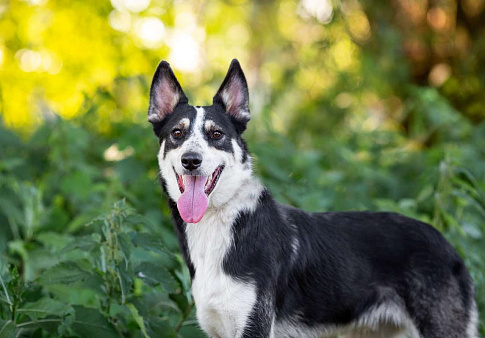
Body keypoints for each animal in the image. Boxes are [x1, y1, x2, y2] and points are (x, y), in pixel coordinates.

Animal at [147, 59, 476, 336]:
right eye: (177, 133)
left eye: (216, 134)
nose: (191, 161)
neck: (222, 220)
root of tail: (448, 245)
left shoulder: (254, 327)